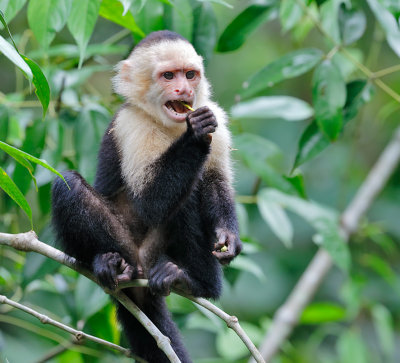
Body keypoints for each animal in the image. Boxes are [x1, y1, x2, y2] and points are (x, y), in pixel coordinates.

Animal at [51, 31, 242, 363]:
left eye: (189, 74)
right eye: (168, 76)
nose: (184, 90)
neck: (171, 125)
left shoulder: (216, 116)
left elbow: (215, 182)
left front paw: (227, 237)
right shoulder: (132, 124)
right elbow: (151, 202)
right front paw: (195, 135)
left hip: (155, 254)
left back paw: (193, 281)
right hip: (127, 245)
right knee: (68, 185)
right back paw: (109, 264)